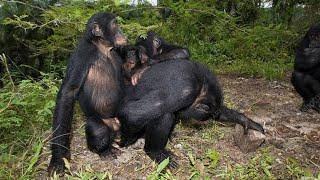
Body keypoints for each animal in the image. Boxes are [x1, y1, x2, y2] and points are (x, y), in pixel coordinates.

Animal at [47, 12, 127, 174]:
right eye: (115, 24)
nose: (122, 31)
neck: (102, 48)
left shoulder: (118, 54)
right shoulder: (82, 54)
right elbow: (69, 92)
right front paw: (58, 158)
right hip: (99, 120)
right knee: (98, 130)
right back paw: (105, 151)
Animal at [117, 58, 264, 167]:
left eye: (211, 116)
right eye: (205, 116)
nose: (207, 119)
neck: (202, 85)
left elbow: (221, 112)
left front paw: (246, 121)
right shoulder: (185, 91)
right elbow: (133, 113)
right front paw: (125, 140)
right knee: (164, 115)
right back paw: (155, 151)